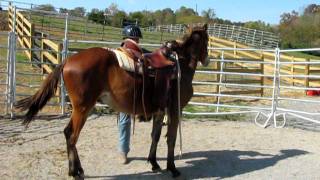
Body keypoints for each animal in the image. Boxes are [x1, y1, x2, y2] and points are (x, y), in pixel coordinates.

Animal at [15, 23, 210, 178]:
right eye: (207, 41)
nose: (207, 60)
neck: (179, 65)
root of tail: (68, 60)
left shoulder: (160, 111)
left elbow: (155, 136)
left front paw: (154, 163)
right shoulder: (175, 110)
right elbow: (171, 138)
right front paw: (172, 168)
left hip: (84, 109)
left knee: (68, 133)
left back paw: (77, 170)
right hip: (82, 108)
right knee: (72, 135)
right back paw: (75, 172)